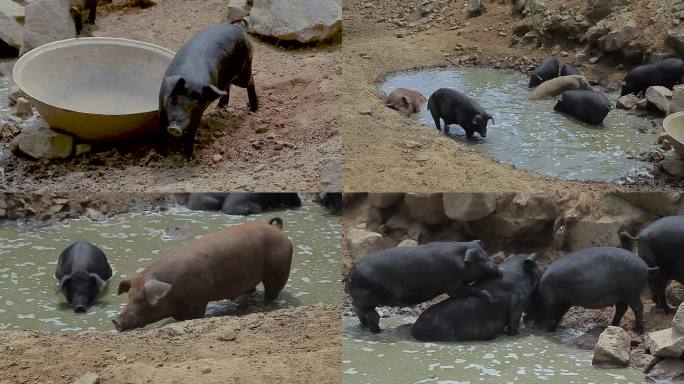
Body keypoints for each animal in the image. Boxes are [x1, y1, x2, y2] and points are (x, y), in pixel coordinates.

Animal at [111, 218, 292, 332]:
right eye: (129, 297)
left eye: (142, 299)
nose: (116, 321)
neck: (173, 290)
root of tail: (277, 228)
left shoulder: (198, 301)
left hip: (279, 270)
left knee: (272, 292)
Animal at [159, 20, 258, 159]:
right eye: (174, 100)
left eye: (195, 106)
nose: (175, 127)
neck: (192, 77)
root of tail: (238, 28)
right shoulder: (161, 107)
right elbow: (161, 130)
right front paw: (162, 154)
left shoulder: (198, 113)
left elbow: (191, 133)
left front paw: (189, 157)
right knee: (227, 87)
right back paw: (220, 107)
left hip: (244, 69)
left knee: (251, 81)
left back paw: (253, 109)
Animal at [344, 242, 500, 332]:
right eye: (481, 259)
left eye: (487, 254)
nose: (499, 269)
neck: (460, 263)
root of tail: (349, 274)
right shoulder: (452, 285)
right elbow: (462, 291)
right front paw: (489, 297)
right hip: (366, 297)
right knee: (369, 312)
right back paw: (377, 330)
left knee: (359, 309)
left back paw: (365, 327)